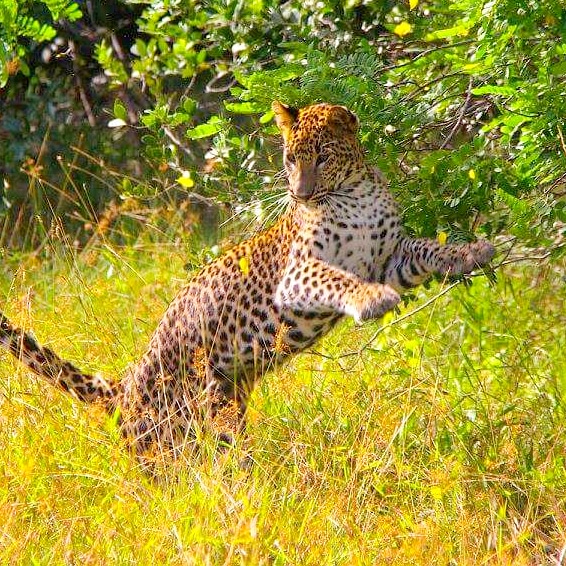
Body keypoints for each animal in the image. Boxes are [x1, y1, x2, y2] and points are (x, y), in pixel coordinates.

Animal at [0, 102, 494, 464]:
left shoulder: (391, 256)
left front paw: (471, 252)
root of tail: (124, 386)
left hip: (225, 411)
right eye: (291, 158)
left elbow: (428, 249)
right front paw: (371, 300)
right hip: (170, 442)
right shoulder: (299, 273)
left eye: (323, 157)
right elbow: (336, 279)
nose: (298, 193)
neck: (355, 193)